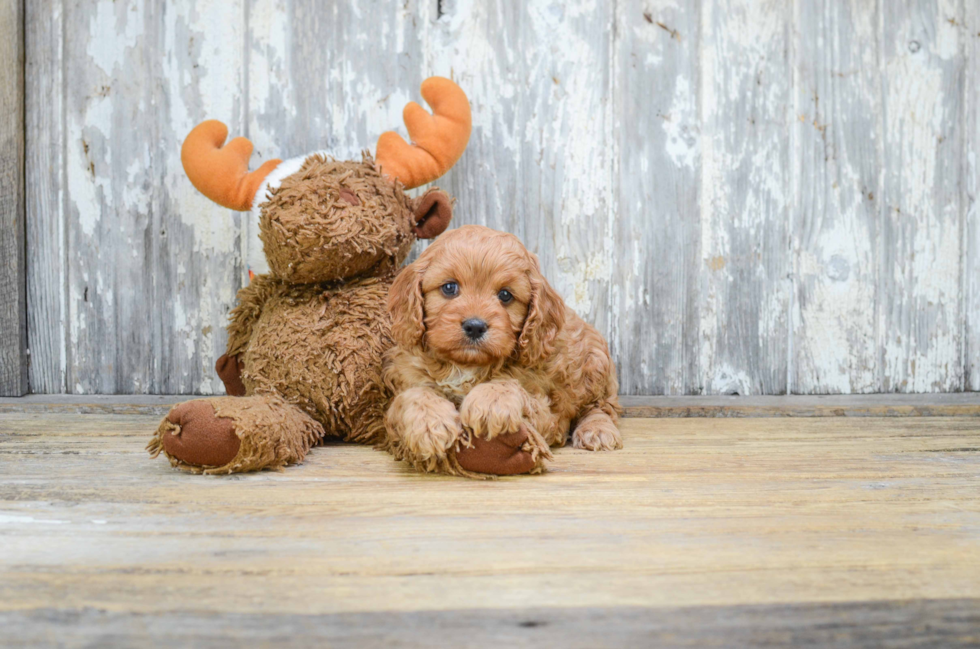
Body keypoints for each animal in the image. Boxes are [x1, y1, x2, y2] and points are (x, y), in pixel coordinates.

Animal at [382, 224, 620, 476]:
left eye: (505, 295)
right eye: (449, 288)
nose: (475, 326)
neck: (465, 366)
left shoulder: (546, 411)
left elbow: (508, 385)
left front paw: (490, 402)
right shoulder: (406, 378)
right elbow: (412, 396)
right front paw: (430, 423)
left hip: (595, 365)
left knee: (602, 407)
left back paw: (598, 430)